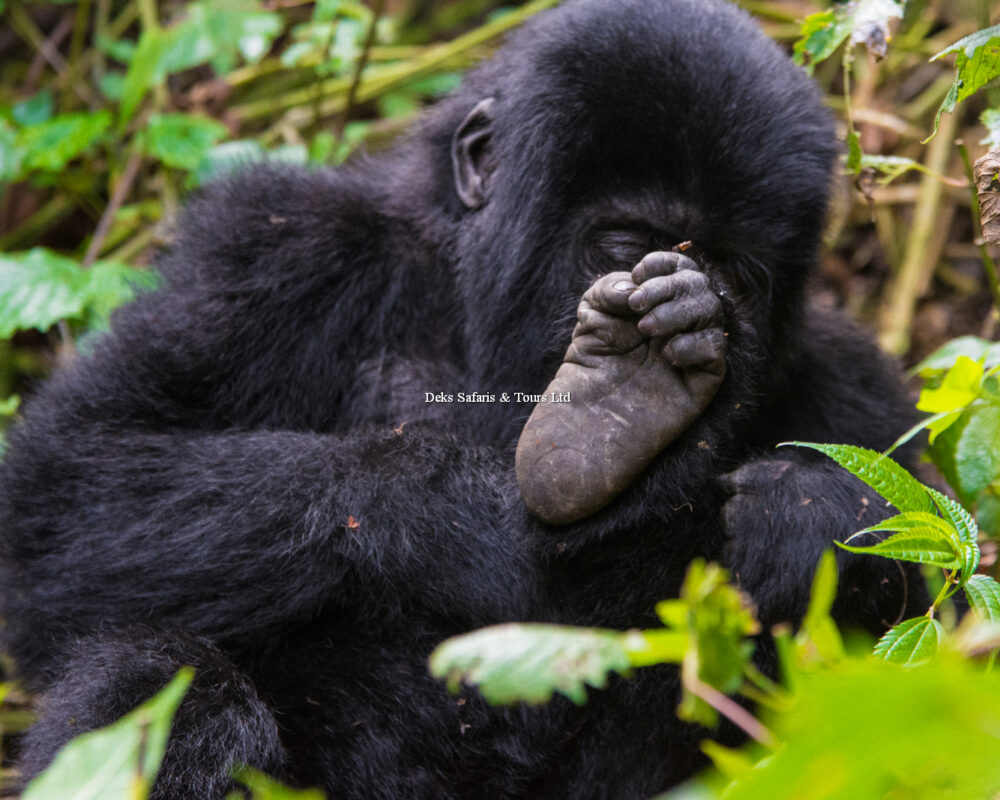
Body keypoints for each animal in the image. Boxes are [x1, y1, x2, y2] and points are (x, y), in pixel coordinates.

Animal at [0, 0, 928, 796]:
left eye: (737, 273)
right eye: (625, 242)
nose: (683, 305)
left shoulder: (849, 378)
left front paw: (811, 517)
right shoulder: (276, 248)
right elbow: (63, 489)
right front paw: (478, 518)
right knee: (159, 678)